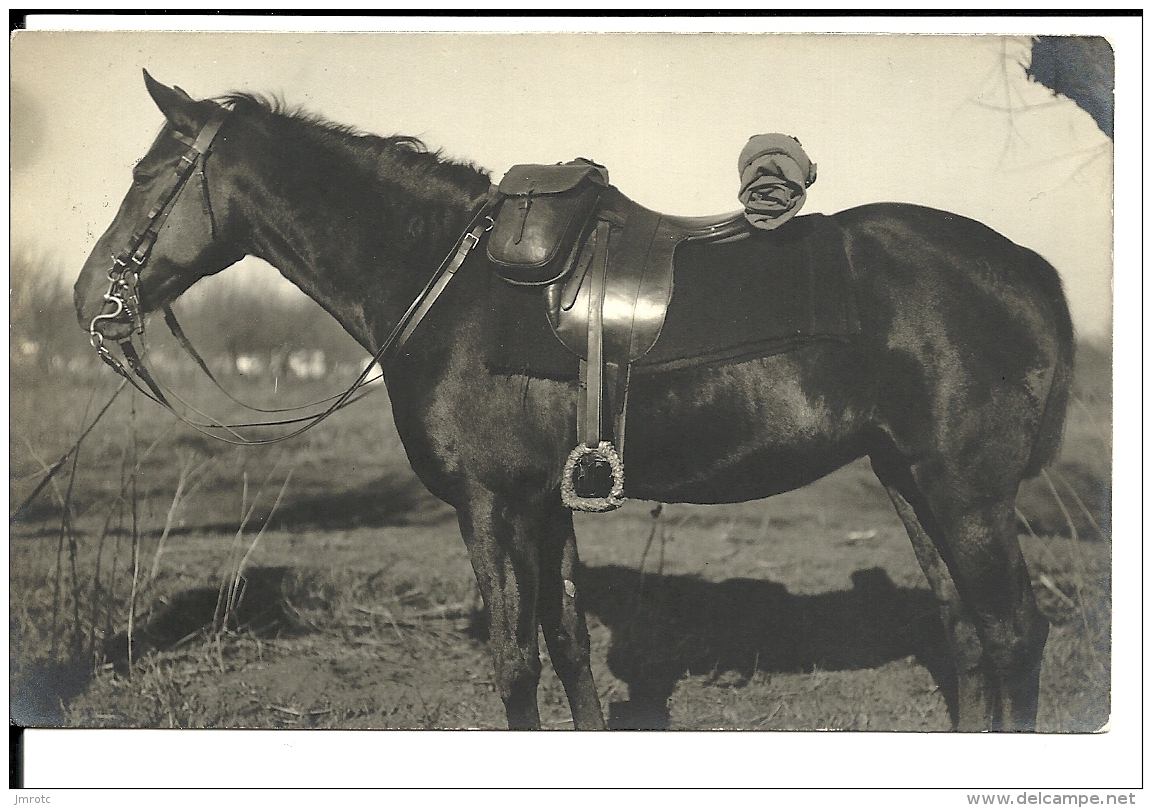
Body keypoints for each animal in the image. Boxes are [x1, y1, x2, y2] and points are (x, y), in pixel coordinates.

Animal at [76, 75, 1073, 733]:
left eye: (145, 175)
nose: (91, 297)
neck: (446, 280)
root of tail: (1026, 268)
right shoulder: (544, 505)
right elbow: (567, 646)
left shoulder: (488, 506)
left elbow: (516, 666)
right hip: (910, 478)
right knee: (967, 632)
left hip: (965, 492)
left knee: (1015, 634)